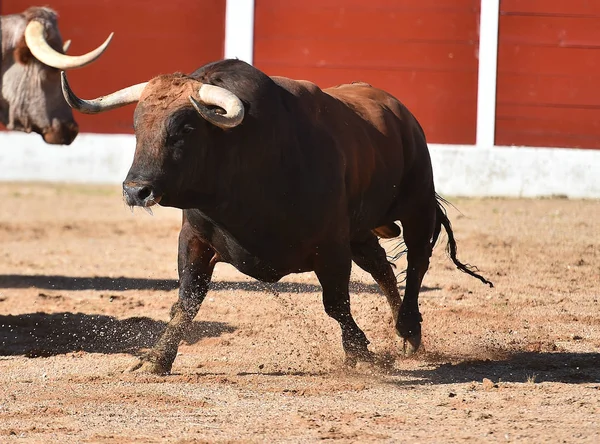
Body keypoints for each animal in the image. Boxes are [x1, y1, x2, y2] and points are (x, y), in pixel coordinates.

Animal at [61, 57, 494, 372]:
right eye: (137, 125)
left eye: (184, 128)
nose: (136, 191)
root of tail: (398, 111)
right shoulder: (195, 238)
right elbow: (186, 300)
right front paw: (156, 359)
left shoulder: (329, 246)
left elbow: (336, 303)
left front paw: (359, 354)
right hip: (357, 230)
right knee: (382, 268)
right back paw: (404, 335)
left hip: (416, 203)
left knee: (418, 260)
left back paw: (408, 326)